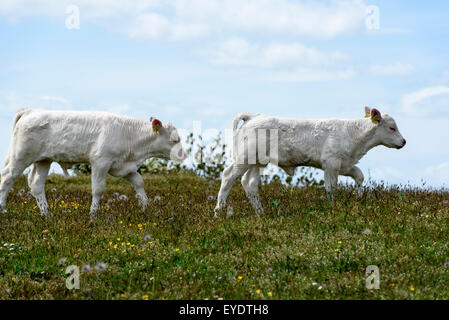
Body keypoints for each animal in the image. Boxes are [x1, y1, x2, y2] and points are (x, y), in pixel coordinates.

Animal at [214, 106, 406, 216]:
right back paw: (218, 213)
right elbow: (331, 187)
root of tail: (253, 116)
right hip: (245, 158)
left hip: (257, 162)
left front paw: (358, 197)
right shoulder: (331, 163)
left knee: (249, 183)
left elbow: (359, 176)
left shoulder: (344, 164)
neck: (353, 134)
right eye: (392, 127)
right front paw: (331, 208)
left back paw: (261, 214)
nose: (404, 141)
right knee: (228, 176)